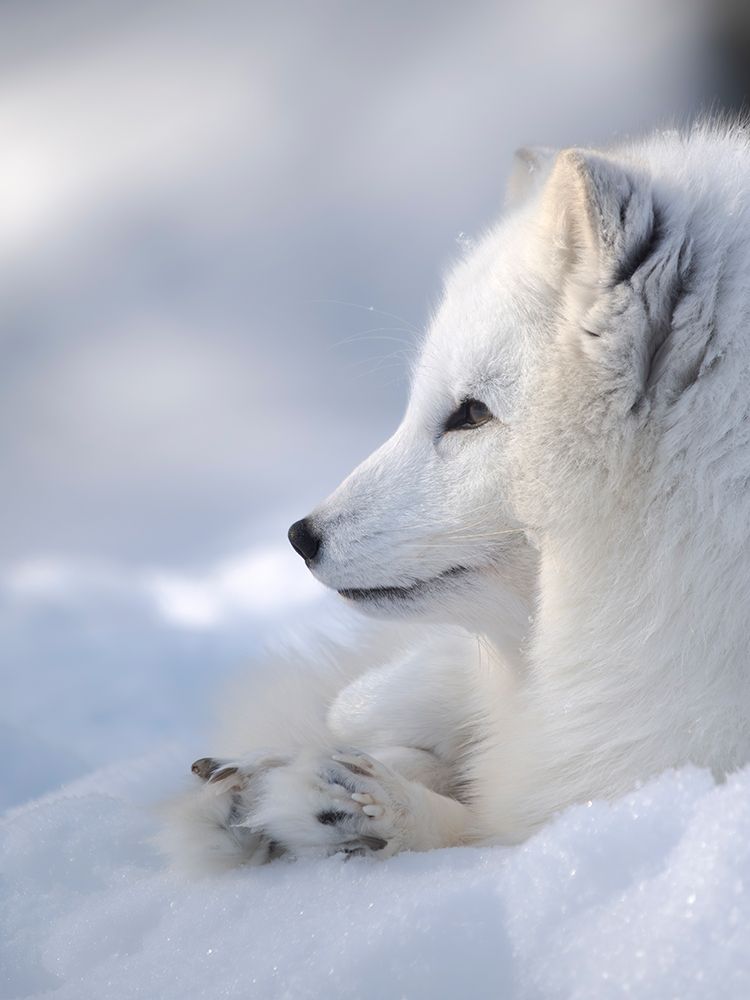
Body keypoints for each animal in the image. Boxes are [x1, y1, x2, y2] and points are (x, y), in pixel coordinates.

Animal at [163, 122, 750, 873]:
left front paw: (360, 809)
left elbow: (493, 820)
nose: (301, 536)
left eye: (471, 414)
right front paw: (274, 775)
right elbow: (366, 703)